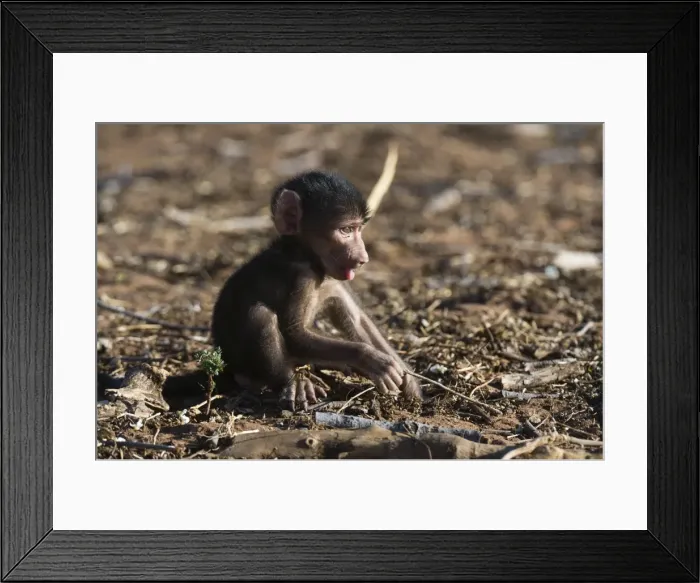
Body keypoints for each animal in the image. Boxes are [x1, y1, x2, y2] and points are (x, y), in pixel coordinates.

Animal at [210, 170, 423, 412]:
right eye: (346, 230)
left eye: (359, 228)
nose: (363, 258)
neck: (308, 257)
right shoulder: (302, 277)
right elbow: (294, 332)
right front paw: (373, 360)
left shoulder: (335, 279)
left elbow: (359, 321)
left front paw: (410, 381)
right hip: (242, 364)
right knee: (259, 315)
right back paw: (293, 382)